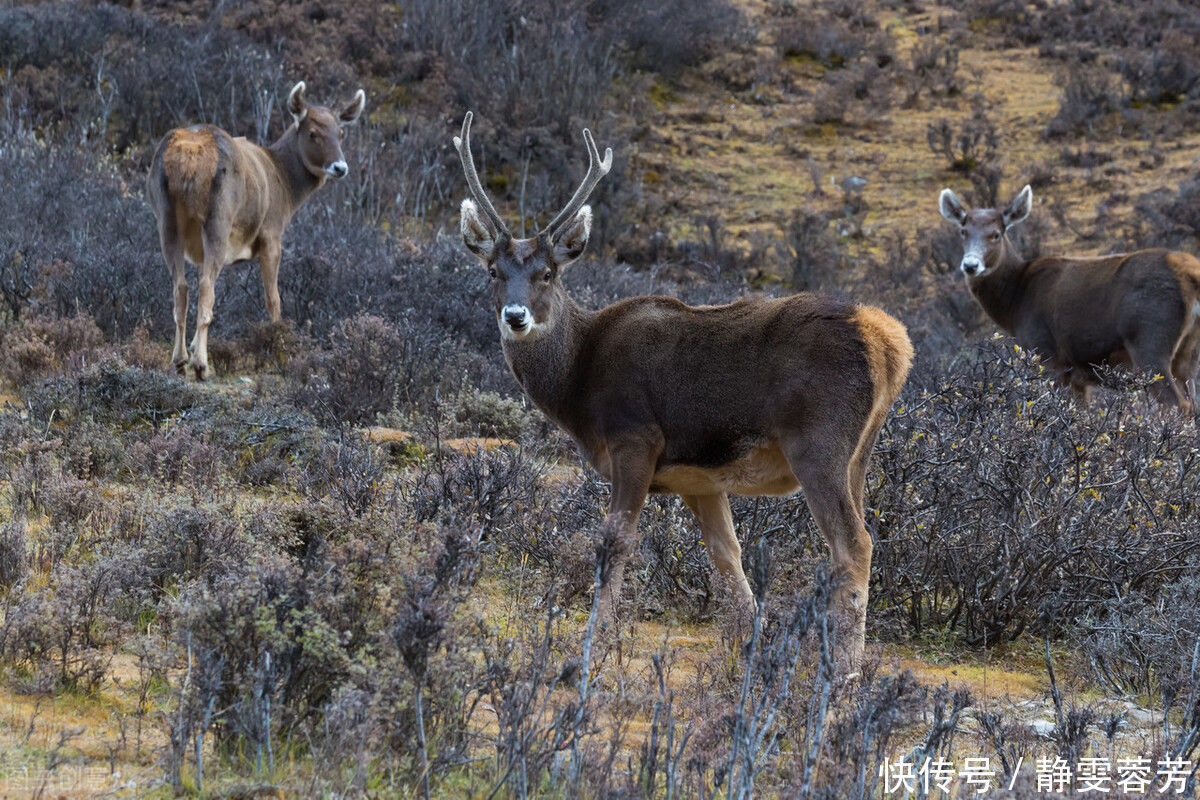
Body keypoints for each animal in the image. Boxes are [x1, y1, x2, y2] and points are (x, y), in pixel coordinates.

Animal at [145, 80, 362, 379]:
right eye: (313, 133)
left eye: (340, 133)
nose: (340, 167)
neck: (287, 189)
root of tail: (189, 157)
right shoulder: (272, 232)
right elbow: (274, 299)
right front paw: (281, 351)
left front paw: (191, 346)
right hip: (219, 216)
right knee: (206, 287)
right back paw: (201, 364)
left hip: (165, 216)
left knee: (181, 287)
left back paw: (179, 360)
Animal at [451, 110, 907, 671]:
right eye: (493, 270)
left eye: (548, 272)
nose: (515, 316)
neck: (577, 386)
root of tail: (891, 343)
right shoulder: (699, 479)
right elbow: (728, 556)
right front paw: (751, 648)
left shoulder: (635, 438)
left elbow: (616, 543)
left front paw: (592, 644)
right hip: (859, 454)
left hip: (818, 441)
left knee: (854, 543)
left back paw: (845, 670)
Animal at [936, 185, 1200, 412]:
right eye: (963, 231)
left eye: (996, 234)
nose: (971, 265)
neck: (1015, 303)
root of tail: (1191, 274)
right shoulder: (1079, 376)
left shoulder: (1046, 353)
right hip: (1188, 353)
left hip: (1149, 340)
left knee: (1179, 405)